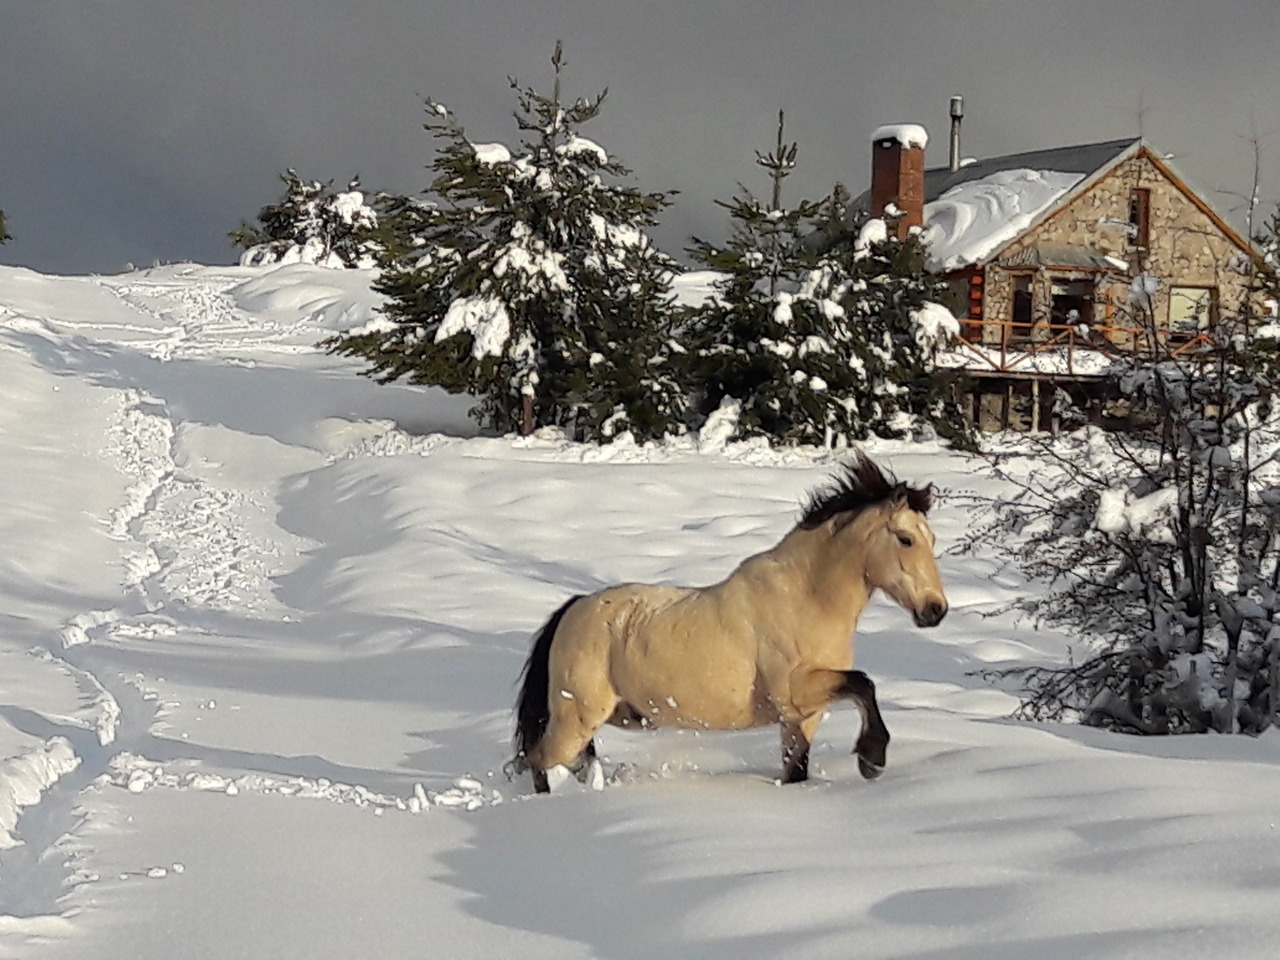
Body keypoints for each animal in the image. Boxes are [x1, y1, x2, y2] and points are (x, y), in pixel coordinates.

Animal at [512, 453, 952, 798]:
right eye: (906, 539)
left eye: (932, 539)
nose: (936, 610)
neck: (807, 599)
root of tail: (572, 610)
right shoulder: (794, 693)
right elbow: (864, 683)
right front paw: (872, 759)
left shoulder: (801, 718)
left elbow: (798, 768)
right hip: (576, 719)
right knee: (539, 760)